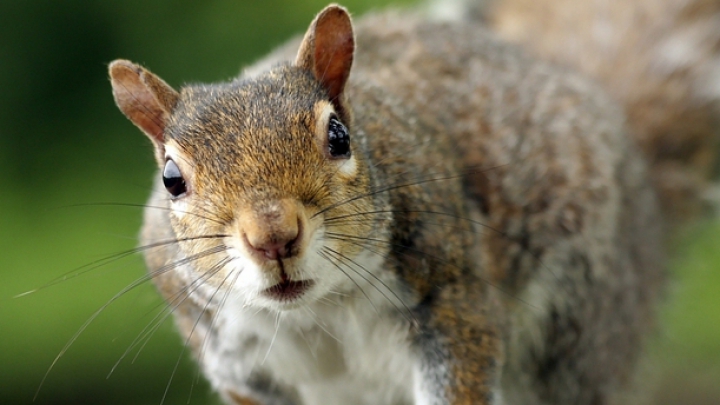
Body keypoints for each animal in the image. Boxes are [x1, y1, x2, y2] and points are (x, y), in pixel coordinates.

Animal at [107, 0, 720, 404]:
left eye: (339, 137)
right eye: (171, 179)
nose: (273, 236)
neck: (318, 309)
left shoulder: (453, 298)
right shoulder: (240, 366)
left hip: (576, 326)